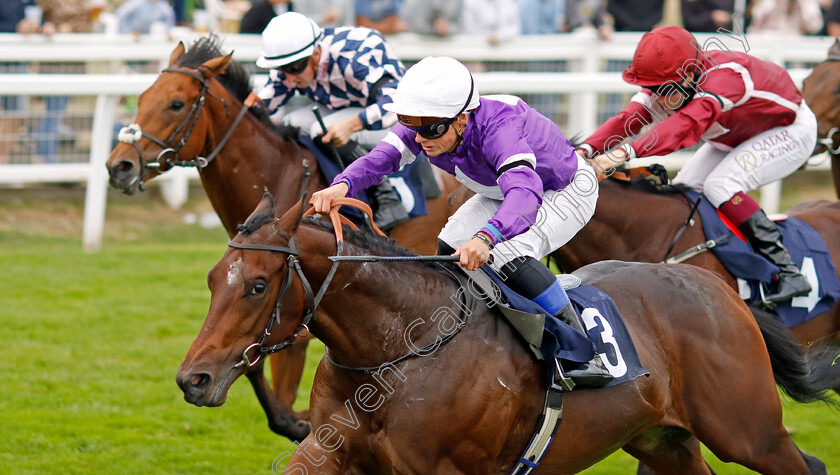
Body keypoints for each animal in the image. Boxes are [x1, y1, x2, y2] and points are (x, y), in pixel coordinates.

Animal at [106, 35, 462, 440]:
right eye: (141, 98)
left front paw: (300, 422)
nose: (119, 166)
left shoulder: (301, 314)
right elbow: (252, 365)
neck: (280, 174)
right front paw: (295, 421)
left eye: (176, 104)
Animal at [179, 194, 832, 475]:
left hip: (747, 433)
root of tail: (718, 288)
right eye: (211, 279)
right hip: (660, 439)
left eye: (257, 285)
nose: (194, 379)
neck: (397, 351)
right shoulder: (332, 450)